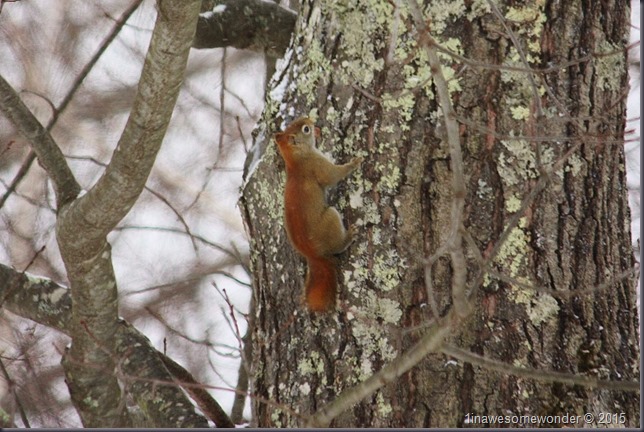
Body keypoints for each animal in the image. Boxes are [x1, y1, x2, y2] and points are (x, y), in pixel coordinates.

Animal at [274, 117, 362, 312]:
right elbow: (332, 175)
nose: (311, 120)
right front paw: (353, 163)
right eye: (306, 129)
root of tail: (314, 255)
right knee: (337, 245)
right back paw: (349, 236)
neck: (296, 160)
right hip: (331, 218)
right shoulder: (317, 165)